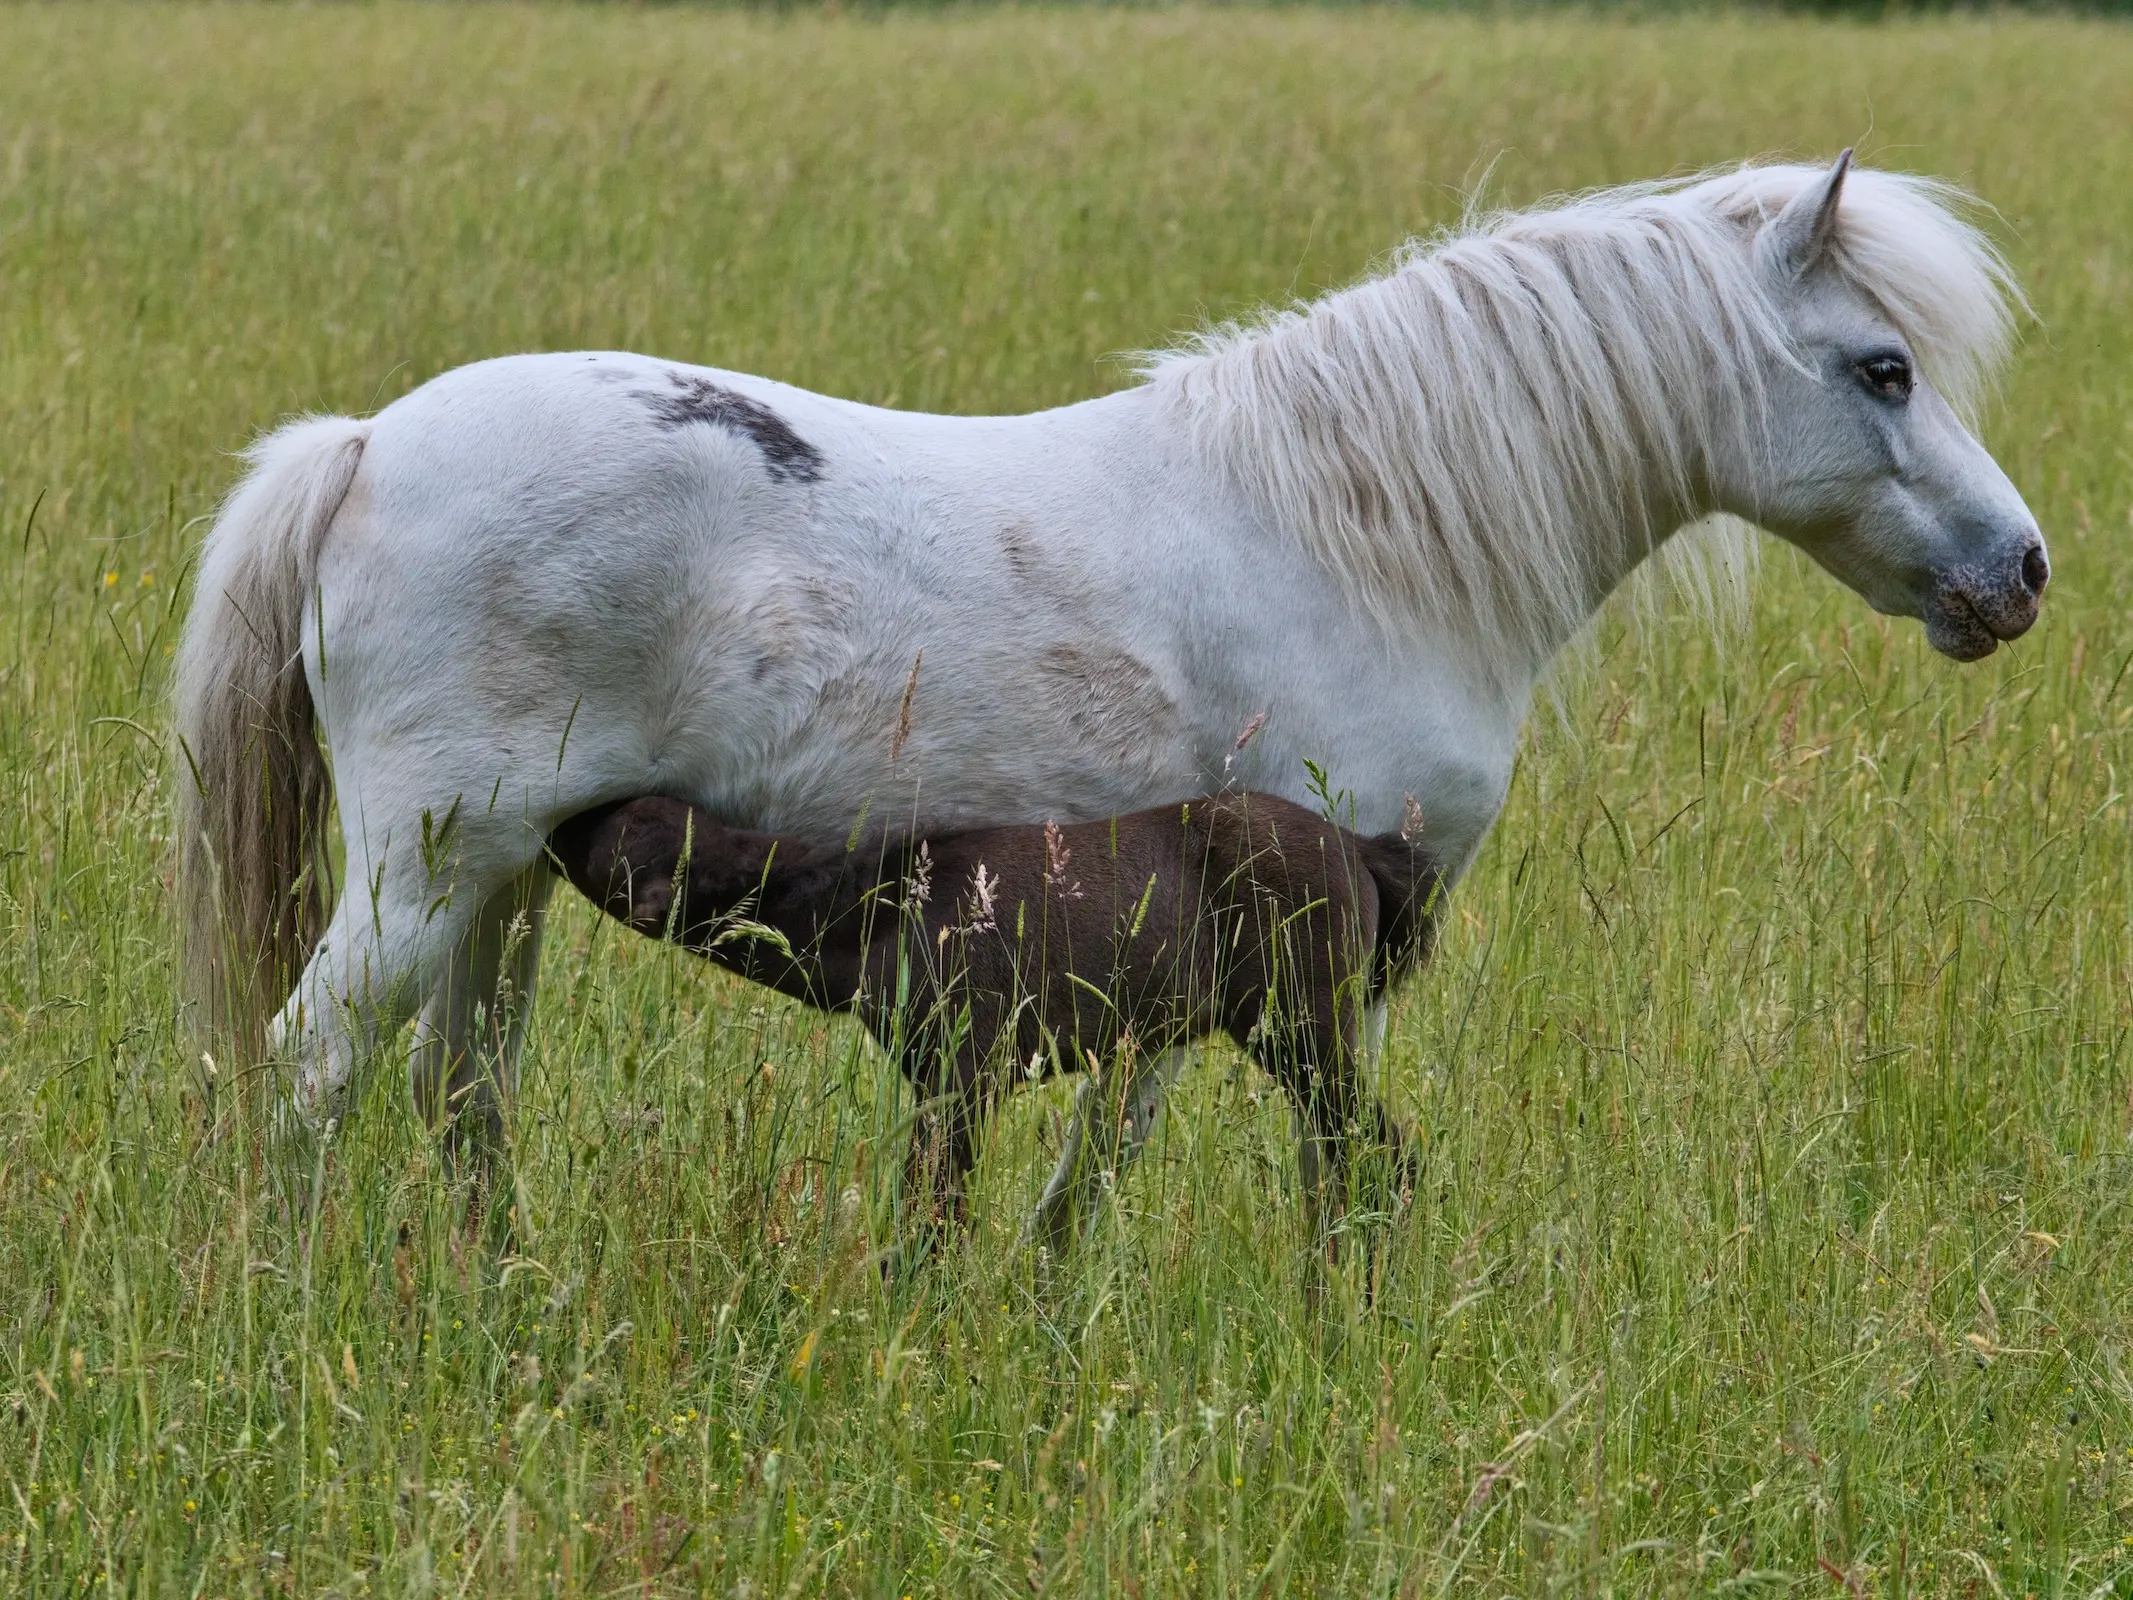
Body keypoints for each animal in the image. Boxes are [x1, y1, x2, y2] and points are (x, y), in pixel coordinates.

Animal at [174, 153, 2039, 1152]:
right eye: (1882, 369)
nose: (2019, 573)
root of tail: (362, 446)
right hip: (428, 870)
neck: (1348, 536)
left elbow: (1105, 1153)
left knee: (458, 1103)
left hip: (501, 887)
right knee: (307, 1075)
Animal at [550, 797, 1450, 1262]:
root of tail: (1361, 848)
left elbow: (932, 1229)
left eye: (617, 829)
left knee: (1387, 1159)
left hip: (1303, 1032)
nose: (564, 816)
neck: (873, 910)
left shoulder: (962, 1077)